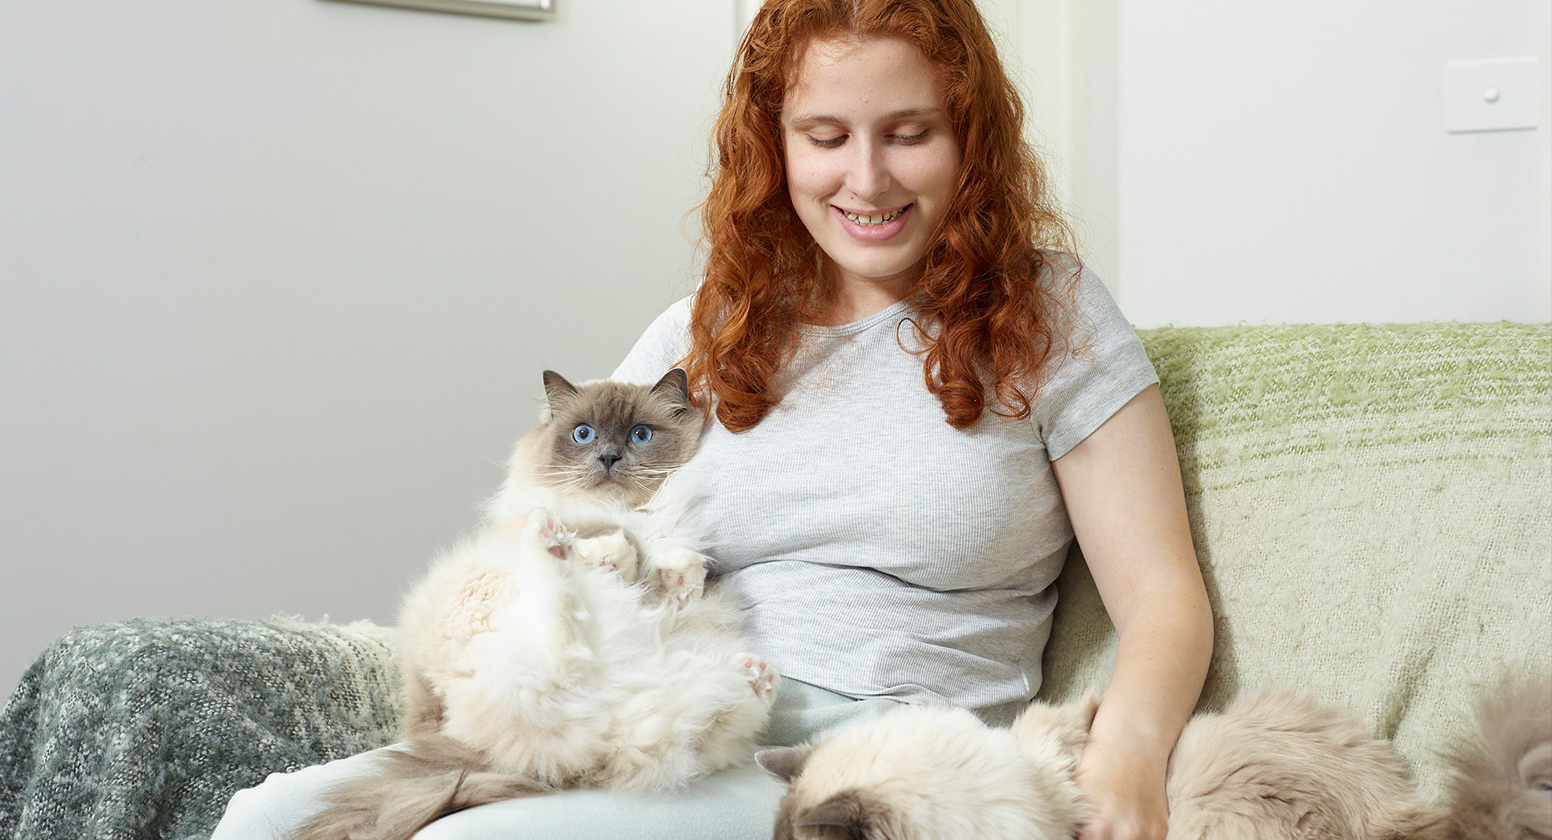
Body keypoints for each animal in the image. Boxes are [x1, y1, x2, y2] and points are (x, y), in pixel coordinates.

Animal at [293, 369, 776, 838]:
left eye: (640, 435)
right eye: (583, 434)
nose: (608, 458)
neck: (627, 513)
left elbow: (674, 567)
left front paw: (676, 579)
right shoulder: (580, 518)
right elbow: (621, 544)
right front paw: (612, 558)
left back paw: (756, 676)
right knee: (562, 648)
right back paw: (549, 542)